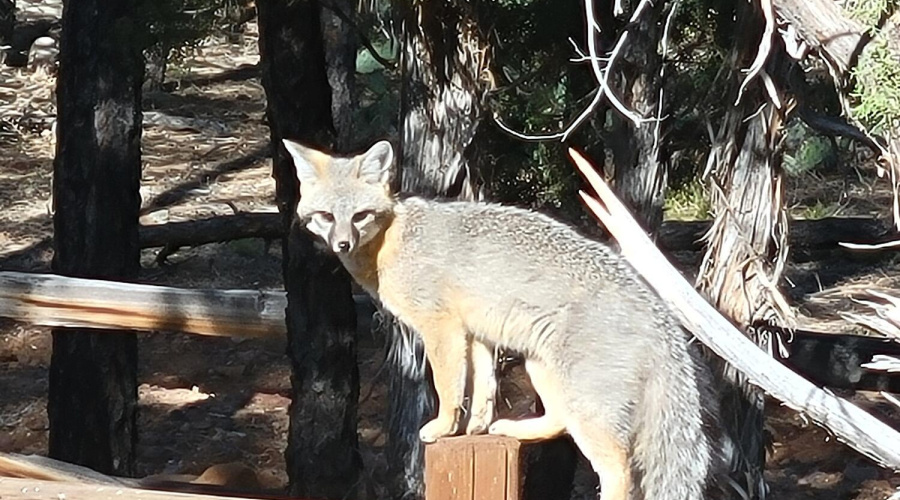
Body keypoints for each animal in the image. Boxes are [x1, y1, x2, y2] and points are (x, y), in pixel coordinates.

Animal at [282, 138, 724, 500]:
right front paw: (475, 427)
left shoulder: (441, 328)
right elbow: (483, 386)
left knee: (618, 471)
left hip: (586, 407)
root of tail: (659, 311)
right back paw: (512, 429)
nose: (342, 244)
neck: (393, 242)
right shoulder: (475, 332)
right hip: (542, 370)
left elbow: (448, 387)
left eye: (359, 216)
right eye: (325, 216)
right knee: (558, 421)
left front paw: (442, 427)